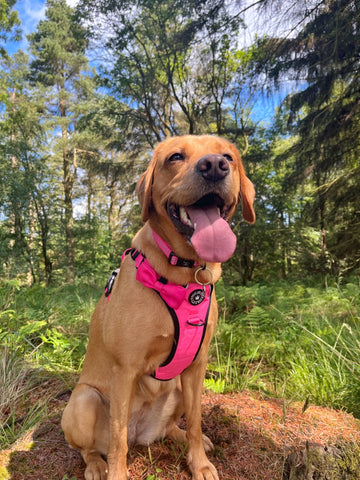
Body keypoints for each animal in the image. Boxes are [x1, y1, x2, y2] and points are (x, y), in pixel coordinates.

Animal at [62, 135, 255, 480]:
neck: (185, 274)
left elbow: (195, 422)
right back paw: (97, 465)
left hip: (177, 388)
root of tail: (142, 435)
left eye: (228, 157)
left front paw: (199, 464)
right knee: (93, 447)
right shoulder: (125, 370)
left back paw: (179, 437)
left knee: (171, 427)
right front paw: (116, 473)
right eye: (175, 157)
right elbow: (117, 441)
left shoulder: (196, 366)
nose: (214, 166)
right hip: (83, 400)